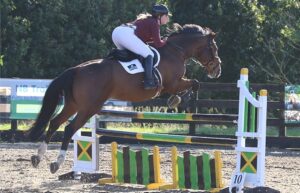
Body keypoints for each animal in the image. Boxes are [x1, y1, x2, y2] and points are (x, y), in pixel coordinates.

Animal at [27, 23, 221, 173]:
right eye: (213, 48)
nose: (217, 70)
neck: (176, 51)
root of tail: (76, 69)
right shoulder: (173, 83)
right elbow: (195, 83)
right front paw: (177, 99)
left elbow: (193, 84)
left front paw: (176, 100)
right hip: (89, 107)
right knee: (68, 129)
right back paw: (56, 163)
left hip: (73, 105)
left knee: (54, 123)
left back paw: (38, 157)